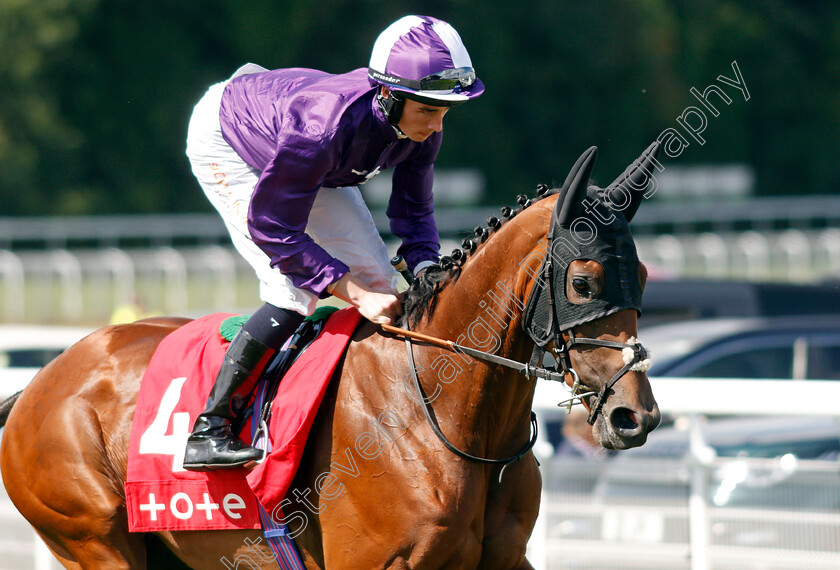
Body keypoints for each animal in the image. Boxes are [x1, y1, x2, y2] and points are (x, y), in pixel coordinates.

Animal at [0, 144, 660, 564]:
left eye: (644, 277)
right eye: (583, 283)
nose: (636, 416)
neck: (441, 418)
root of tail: (39, 383)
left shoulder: (504, 560)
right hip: (93, 537)